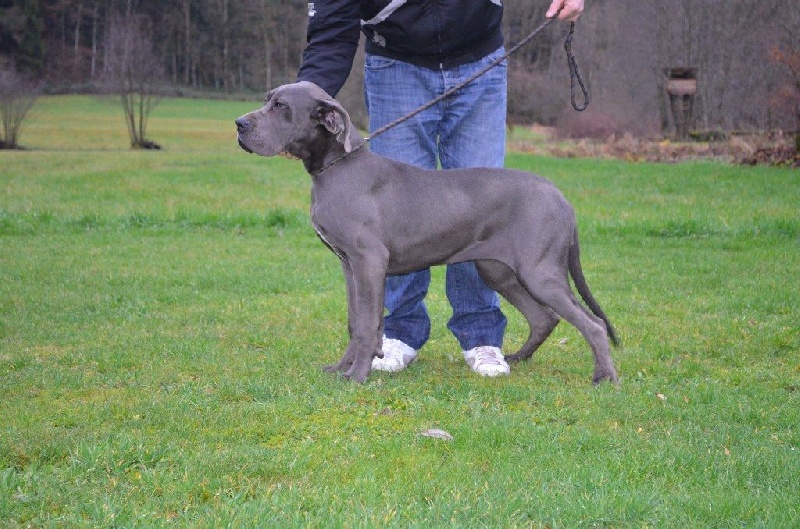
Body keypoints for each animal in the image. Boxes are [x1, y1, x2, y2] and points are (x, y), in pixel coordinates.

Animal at [234, 80, 620, 384]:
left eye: (281, 107)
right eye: (268, 99)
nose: (239, 123)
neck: (335, 166)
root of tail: (561, 197)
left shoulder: (369, 261)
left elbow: (367, 323)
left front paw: (357, 376)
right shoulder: (348, 265)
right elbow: (355, 321)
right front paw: (342, 368)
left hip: (539, 271)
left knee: (592, 324)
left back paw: (605, 377)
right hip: (497, 269)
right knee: (544, 317)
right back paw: (516, 359)